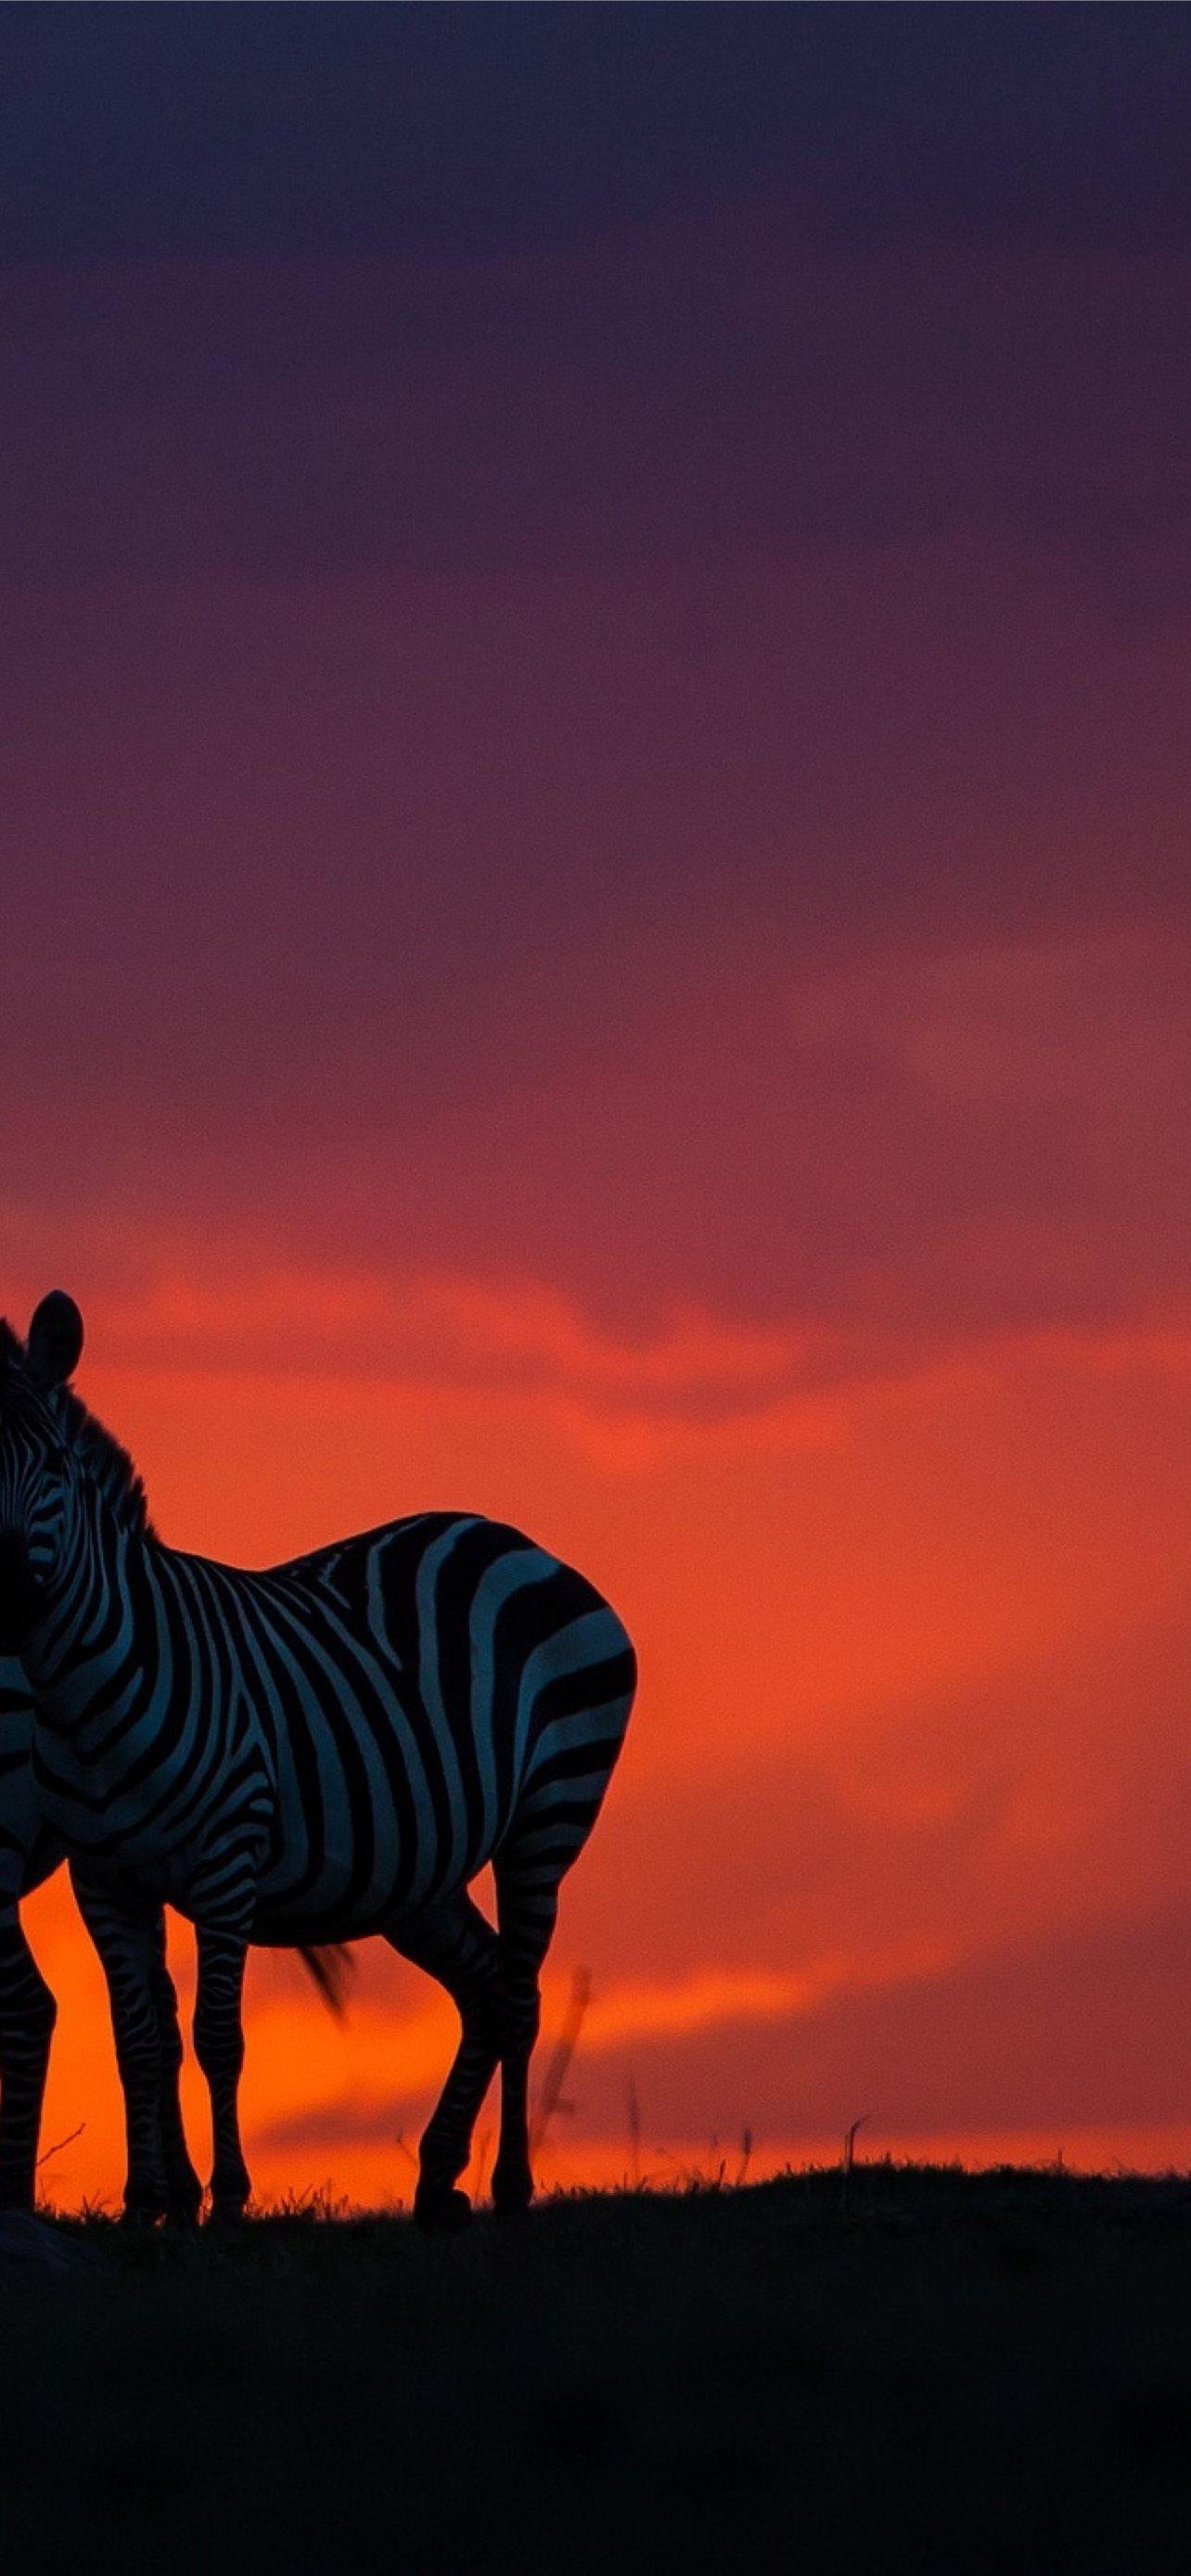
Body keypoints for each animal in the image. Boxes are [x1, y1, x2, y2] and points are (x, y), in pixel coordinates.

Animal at [0, 1292, 637, 2225]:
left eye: (49, 1463)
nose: (4, 1595)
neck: (85, 1692)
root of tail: (512, 1537)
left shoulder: (226, 1859)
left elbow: (217, 2037)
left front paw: (227, 2198)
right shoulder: (105, 1877)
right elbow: (138, 2038)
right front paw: (147, 2203)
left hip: (548, 1817)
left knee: (520, 1995)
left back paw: (513, 2186)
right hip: (416, 1868)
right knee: (486, 1984)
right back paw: (436, 2177)